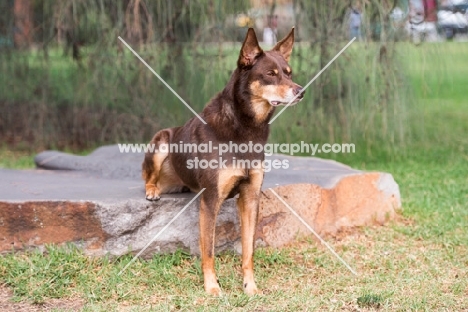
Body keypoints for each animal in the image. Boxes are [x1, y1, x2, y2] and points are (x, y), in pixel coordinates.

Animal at [143, 28, 304, 296]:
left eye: (289, 73)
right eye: (270, 74)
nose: (301, 91)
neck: (245, 128)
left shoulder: (250, 197)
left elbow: (248, 250)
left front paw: (250, 286)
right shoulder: (210, 200)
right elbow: (208, 251)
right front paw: (212, 287)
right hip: (161, 141)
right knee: (148, 176)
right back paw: (152, 190)